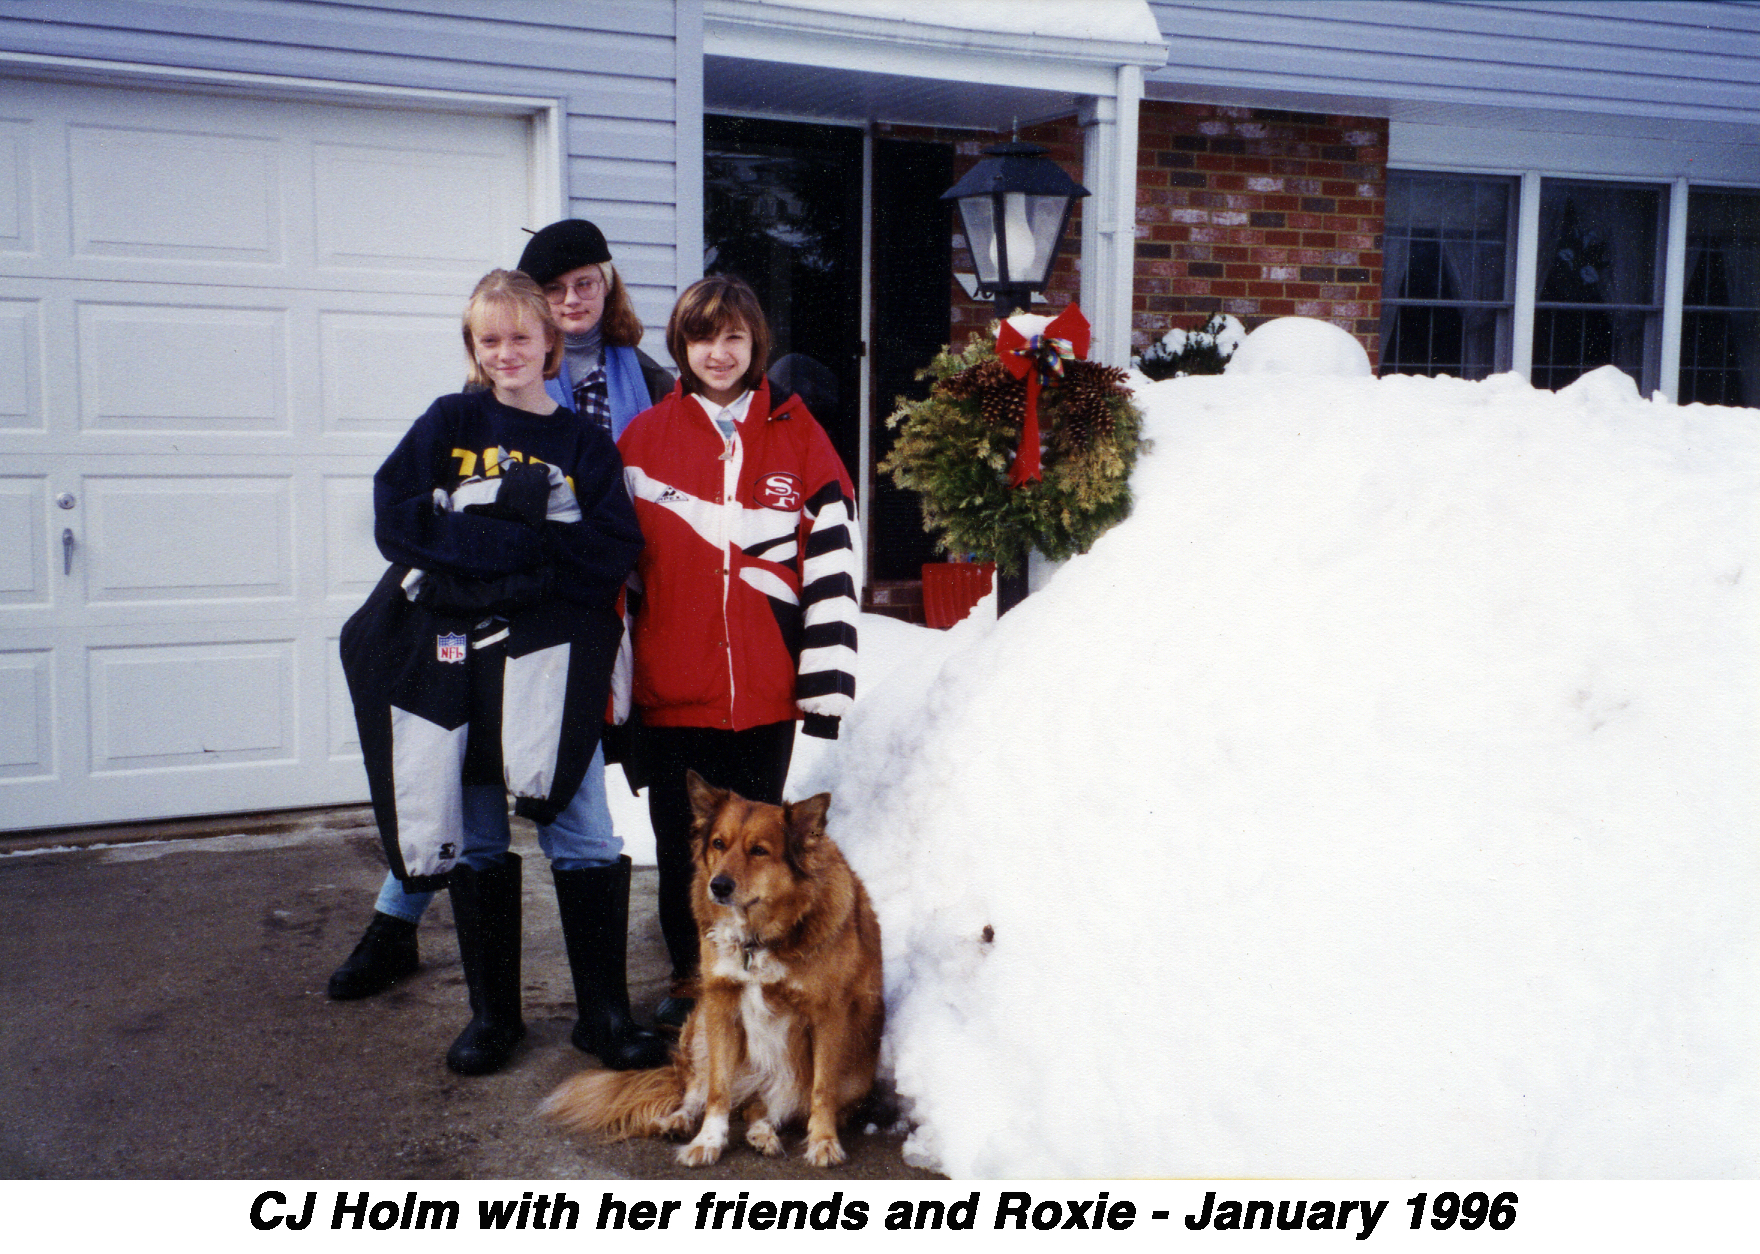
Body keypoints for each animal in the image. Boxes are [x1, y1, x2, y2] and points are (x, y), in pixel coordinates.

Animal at [535, 766, 887, 1167]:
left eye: (759, 851)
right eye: (719, 843)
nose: (718, 886)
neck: (758, 937)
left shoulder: (828, 1015)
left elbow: (822, 1089)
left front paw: (824, 1141)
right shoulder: (721, 1003)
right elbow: (718, 1088)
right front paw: (708, 1140)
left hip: (854, 1077)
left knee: (770, 1106)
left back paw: (764, 1132)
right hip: (700, 1026)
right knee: (705, 1091)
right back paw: (681, 1121)